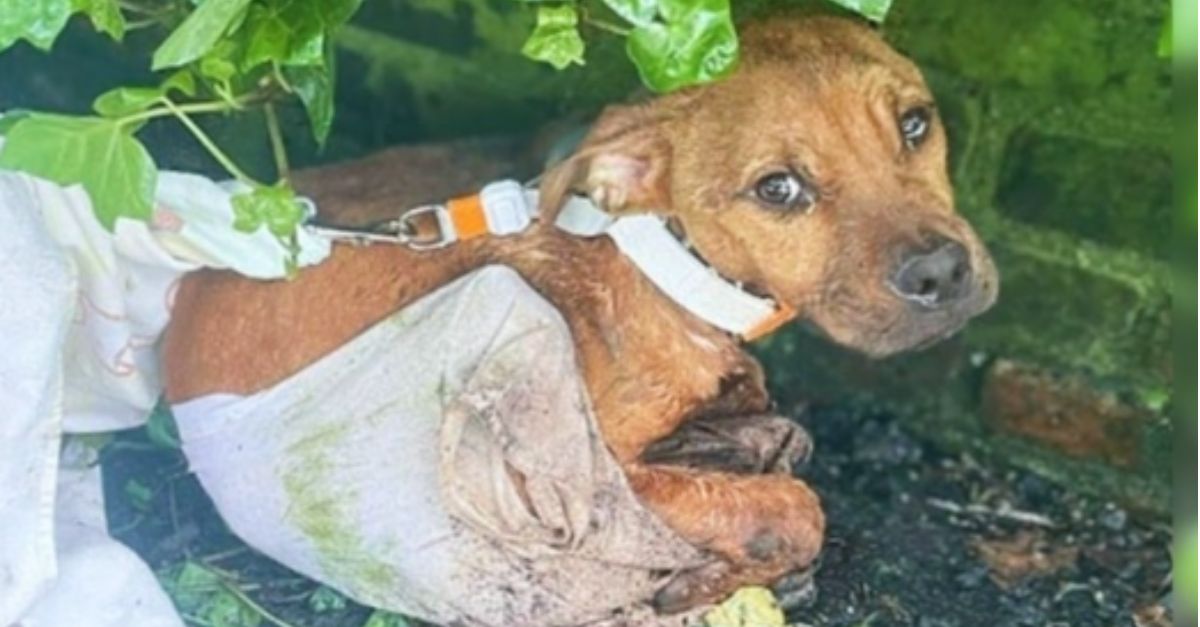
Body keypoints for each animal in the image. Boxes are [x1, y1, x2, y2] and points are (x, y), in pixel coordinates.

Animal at [164, 18, 998, 610]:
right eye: (778, 189)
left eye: (915, 124)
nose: (943, 272)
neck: (668, 269)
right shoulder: (596, 480)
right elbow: (794, 507)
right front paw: (705, 575)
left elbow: (777, 444)